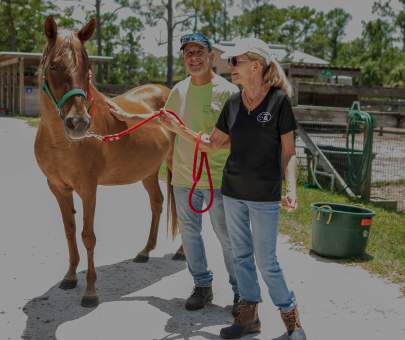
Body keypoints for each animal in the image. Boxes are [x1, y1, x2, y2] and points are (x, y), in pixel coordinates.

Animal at [34, 16, 183, 308]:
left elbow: (88, 236)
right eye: (54, 65)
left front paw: (91, 292)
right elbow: (70, 231)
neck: (61, 142)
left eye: (88, 67)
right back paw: (145, 251)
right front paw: (70, 277)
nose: (79, 123)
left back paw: (183, 252)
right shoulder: (58, 188)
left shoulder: (88, 188)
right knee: (157, 202)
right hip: (149, 171)